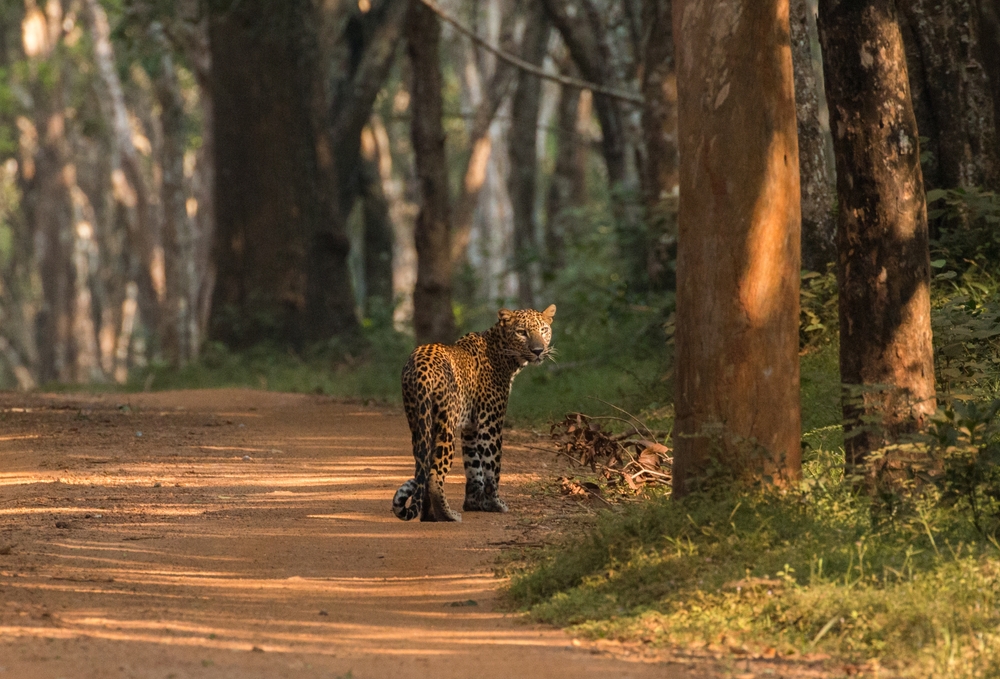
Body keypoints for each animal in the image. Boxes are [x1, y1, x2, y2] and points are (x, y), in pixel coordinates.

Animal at [394, 306, 560, 524]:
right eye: (521, 332)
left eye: (543, 330)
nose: (538, 350)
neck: (504, 355)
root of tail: (421, 365)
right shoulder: (490, 424)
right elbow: (492, 466)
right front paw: (495, 504)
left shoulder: (470, 427)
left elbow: (473, 466)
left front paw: (474, 503)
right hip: (446, 425)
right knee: (434, 474)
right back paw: (447, 515)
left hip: (419, 422)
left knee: (423, 467)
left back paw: (429, 516)